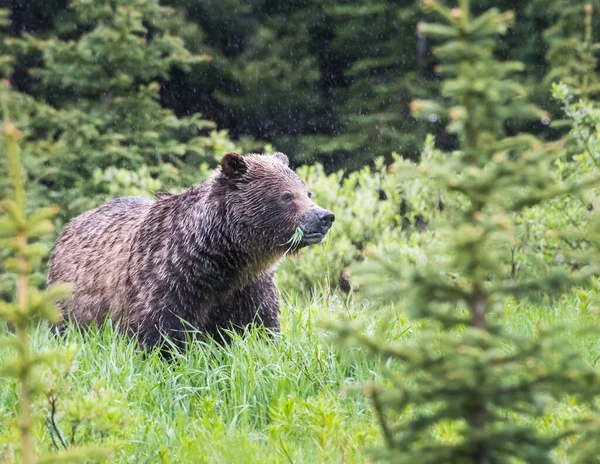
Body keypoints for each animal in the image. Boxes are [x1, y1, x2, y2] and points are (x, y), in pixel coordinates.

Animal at [47, 152, 336, 348]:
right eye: (286, 196)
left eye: (307, 192)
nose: (324, 216)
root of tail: (70, 224)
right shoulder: (165, 282)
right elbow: (161, 335)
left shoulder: (249, 286)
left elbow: (260, 326)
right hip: (70, 301)